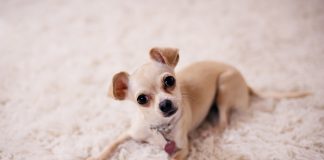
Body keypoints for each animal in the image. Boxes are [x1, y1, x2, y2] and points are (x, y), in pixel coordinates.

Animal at [87, 47, 310, 160]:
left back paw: (210, 131)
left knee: (224, 121)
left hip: (224, 87)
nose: (165, 104)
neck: (160, 128)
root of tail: (246, 83)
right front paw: (93, 157)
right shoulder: (127, 134)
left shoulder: (182, 150)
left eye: (169, 81)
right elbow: (109, 147)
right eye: (141, 99)